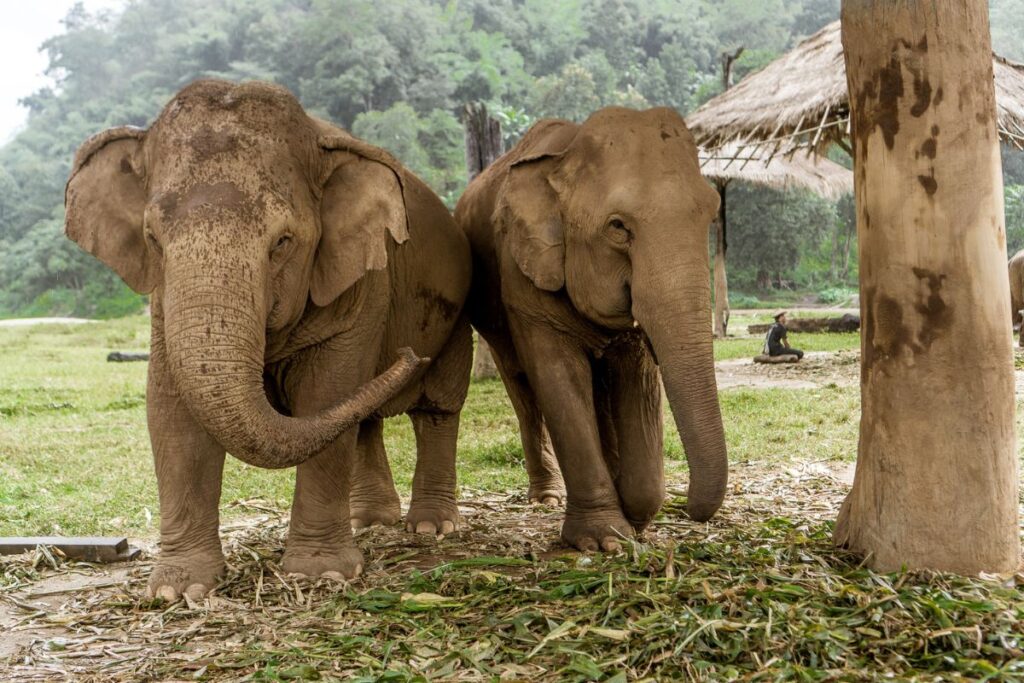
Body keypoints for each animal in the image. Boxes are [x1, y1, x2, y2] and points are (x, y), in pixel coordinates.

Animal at [65, 80, 472, 600]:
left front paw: (320, 576)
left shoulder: (363, 280)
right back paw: (367, 523)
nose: (408, 354)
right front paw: (178, 590)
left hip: (458, 314)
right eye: (153, 238)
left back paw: (431, 527)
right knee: (362, 417)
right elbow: (170, 411)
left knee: (436, 409)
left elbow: (328, 389)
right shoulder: (163, 301)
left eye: (282, 242)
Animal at [453, 107, 727, 552]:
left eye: (711, 213)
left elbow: (637, 377)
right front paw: (604, 541)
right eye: (618, 227)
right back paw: (546, 497)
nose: (690, 509)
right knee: (521, 386)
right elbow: (559, 377)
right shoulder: (522, 273)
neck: (567, 155)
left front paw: (635, 517)